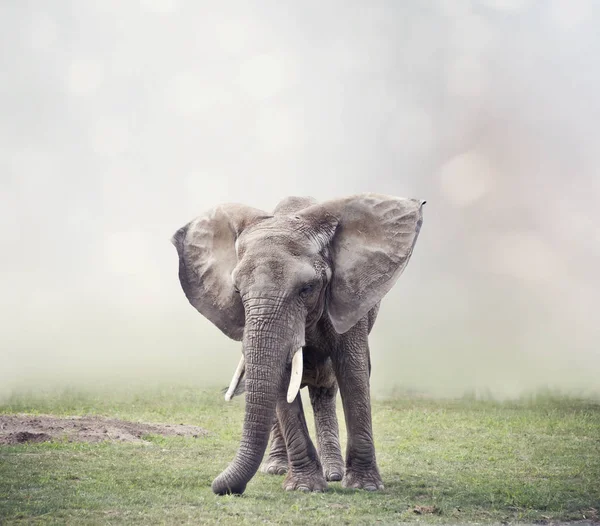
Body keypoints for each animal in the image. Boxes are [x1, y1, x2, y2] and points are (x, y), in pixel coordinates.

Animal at [171, 193, 424, 496]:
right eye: (237, 291)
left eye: (307, 289)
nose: (220, 488)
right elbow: (281, 381)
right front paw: (304, 488)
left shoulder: (347, 295)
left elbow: (353, 372)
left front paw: (366, 487)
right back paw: (277, 468)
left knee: (326, 388)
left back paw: (334, 473)